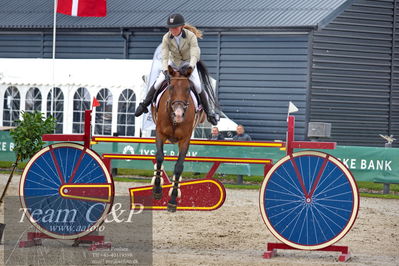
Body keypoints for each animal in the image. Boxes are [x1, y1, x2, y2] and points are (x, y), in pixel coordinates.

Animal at [150, 64, 206, 212]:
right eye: (171, 87)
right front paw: (157, 189)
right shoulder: (160, 134)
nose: (179, 114)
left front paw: (173, 199)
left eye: (188, 89)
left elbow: (179, 166)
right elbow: (159, 157)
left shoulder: (185, 140)